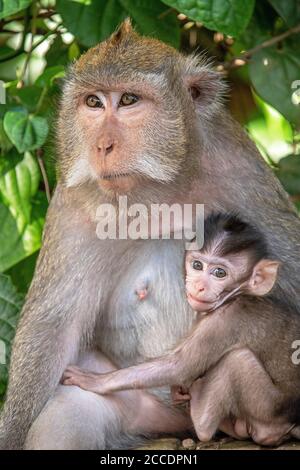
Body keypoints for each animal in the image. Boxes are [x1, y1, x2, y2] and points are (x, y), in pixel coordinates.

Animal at [62, 215, 300, 446]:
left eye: (219, 273)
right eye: (197, 265)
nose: (199, 286)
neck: (234, 297)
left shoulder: (225, 320)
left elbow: (180, 366)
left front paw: (96, 381)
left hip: (270, 406)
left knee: (236, 359)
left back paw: (200, 417)